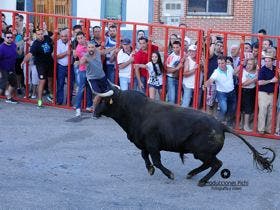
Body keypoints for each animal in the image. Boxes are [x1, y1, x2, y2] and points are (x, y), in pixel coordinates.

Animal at [94, 88, 276, 186]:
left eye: (103, 101)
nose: (95, 113)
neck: (135, 110)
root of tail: (221, 125)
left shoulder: (153, 145)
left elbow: (157, 161)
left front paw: (169, 174)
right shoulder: (145, 144)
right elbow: (145, 156)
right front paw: (150, 169)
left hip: (201, 152)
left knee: (216, 164)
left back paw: (202, 181)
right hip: (200, 153)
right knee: (209, 164)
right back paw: (192, 174)